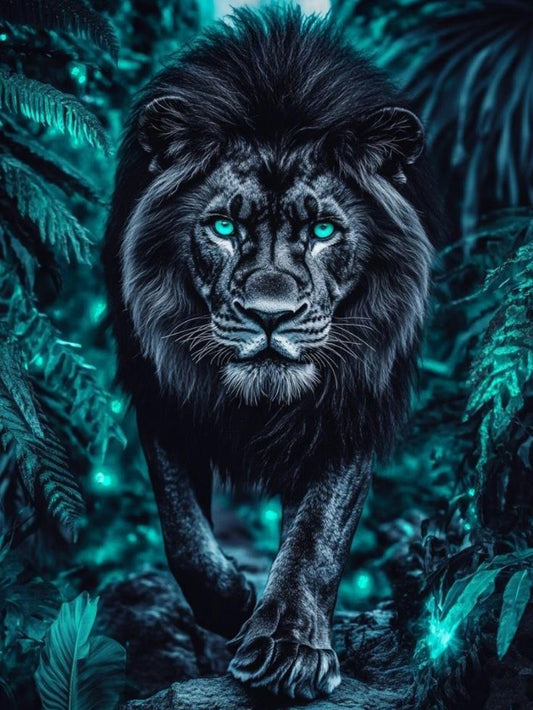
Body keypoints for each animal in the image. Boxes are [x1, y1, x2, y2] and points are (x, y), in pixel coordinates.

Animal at [103, 7, 441, 700]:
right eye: (224, 228)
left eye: (323, 231)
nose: (269, 315)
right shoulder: (164, 389)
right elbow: (183, 532)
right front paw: (231, 603)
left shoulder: (350, 404)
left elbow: (315, 537)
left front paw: (289, 647)